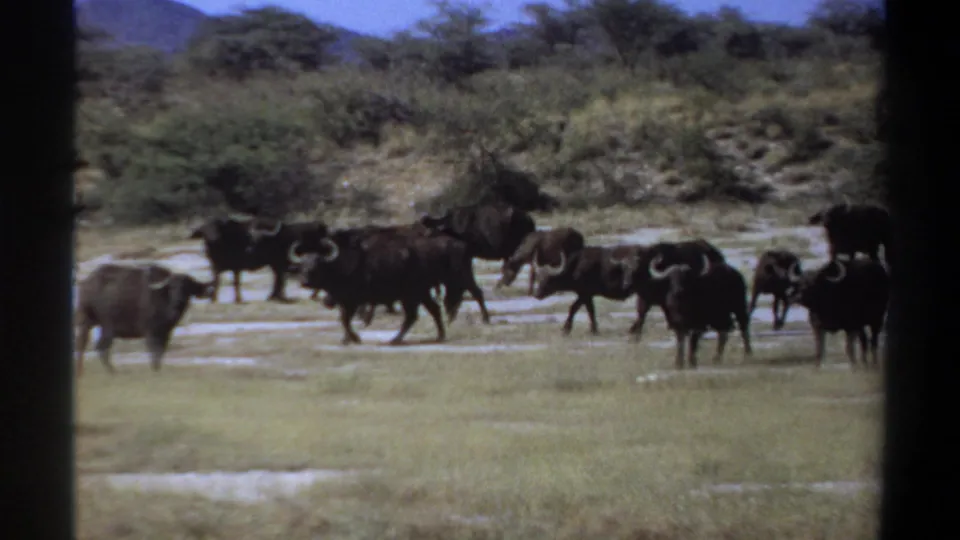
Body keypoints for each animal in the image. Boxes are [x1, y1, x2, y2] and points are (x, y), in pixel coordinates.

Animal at [74, 263, 214, 375]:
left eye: (188, 287)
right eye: (172, 286)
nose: (179, 300)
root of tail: (86, 283)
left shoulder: (165, 333)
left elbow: (161, 352)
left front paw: (157, 369)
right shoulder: (150, 331)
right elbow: (154, 351)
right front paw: (154, 369)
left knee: (97, 347)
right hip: (94, 323)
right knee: (90, 345)